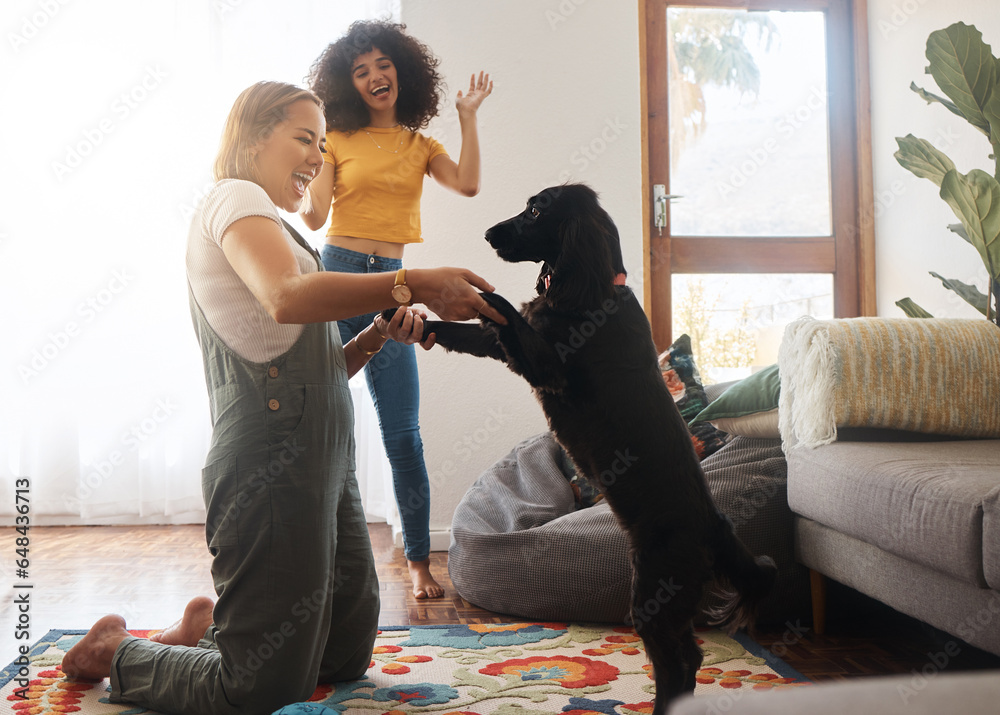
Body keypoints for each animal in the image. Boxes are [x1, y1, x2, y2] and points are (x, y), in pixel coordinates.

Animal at [400, 185, 780, 712]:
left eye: (536, 210)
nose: (489, 234)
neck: (590, 289)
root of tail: (716, 527)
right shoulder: (509, 347)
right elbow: (471, 328)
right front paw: (405, 317)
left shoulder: (547, 366)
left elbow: (502, 310)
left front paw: (475, 292)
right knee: (689, 659)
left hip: (655, 594)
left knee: (680, 664)